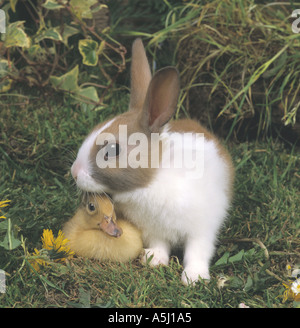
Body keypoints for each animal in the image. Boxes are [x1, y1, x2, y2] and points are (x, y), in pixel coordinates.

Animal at [70, 38, 234, 284]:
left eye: (112, 150)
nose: (74, 172)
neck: (151, 183)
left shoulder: (202, 228)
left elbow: (197, 251)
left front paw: (194, 277)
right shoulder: (153, 229)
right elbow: (160, 244)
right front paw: (154, 260)